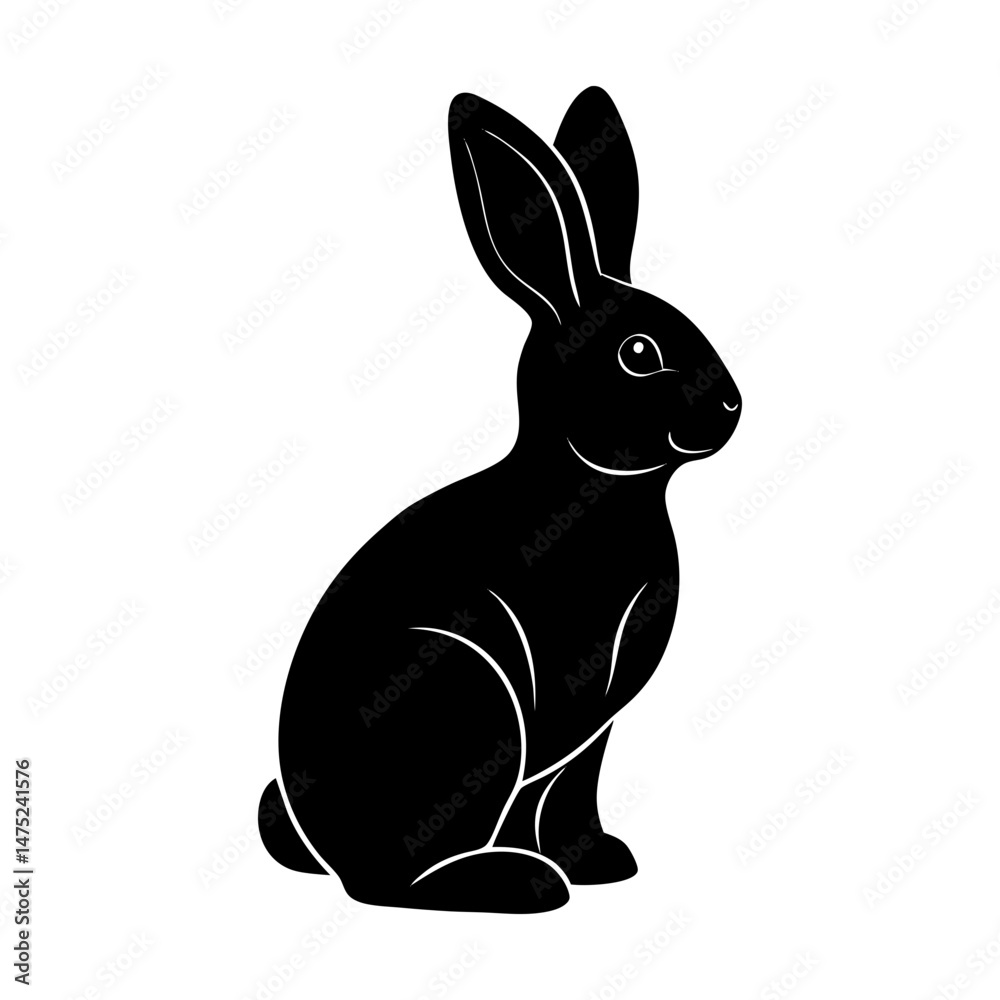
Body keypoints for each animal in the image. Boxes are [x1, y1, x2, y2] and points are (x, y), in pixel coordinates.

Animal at [258, 87, 741, 914]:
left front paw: (601, 861)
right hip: (467, 702)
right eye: (638, 352)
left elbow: (570, 794)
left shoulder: (591, 737)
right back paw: (517, 882)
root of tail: (322, 837)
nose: (732, 406)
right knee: (390, 881)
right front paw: (569, 870)